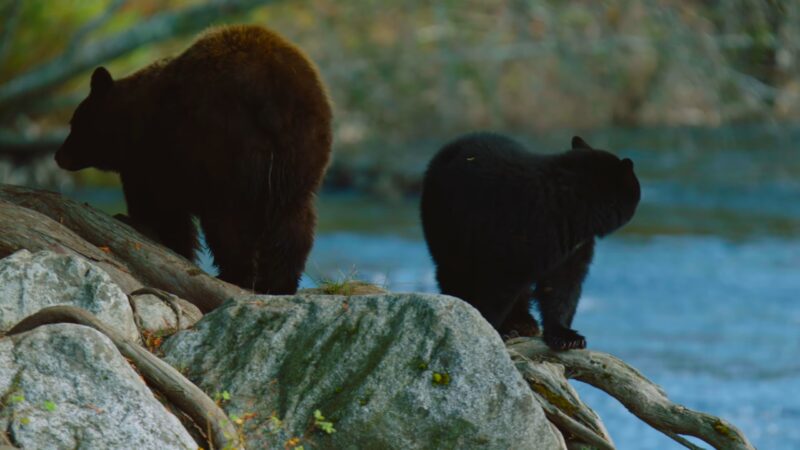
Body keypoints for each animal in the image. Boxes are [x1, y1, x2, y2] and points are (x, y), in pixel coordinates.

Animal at [54, 24, 332, 296]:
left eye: (73, 122)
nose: (59, 156)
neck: (126, 126)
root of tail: (272, 94)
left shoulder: (152, 160)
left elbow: (161, 210)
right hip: (302, 152)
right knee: (293, 218)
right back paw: (278, 283)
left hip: (222, 150)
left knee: (227, 220)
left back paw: (235, 274)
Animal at [422, 132, 640, 350]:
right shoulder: (518, 231)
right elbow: (499, 284)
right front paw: (491, 328)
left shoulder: (571, 244)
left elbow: (563, 285)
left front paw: (567, 336)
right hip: (448, 222)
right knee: (454, 270)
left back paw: (524, 322)